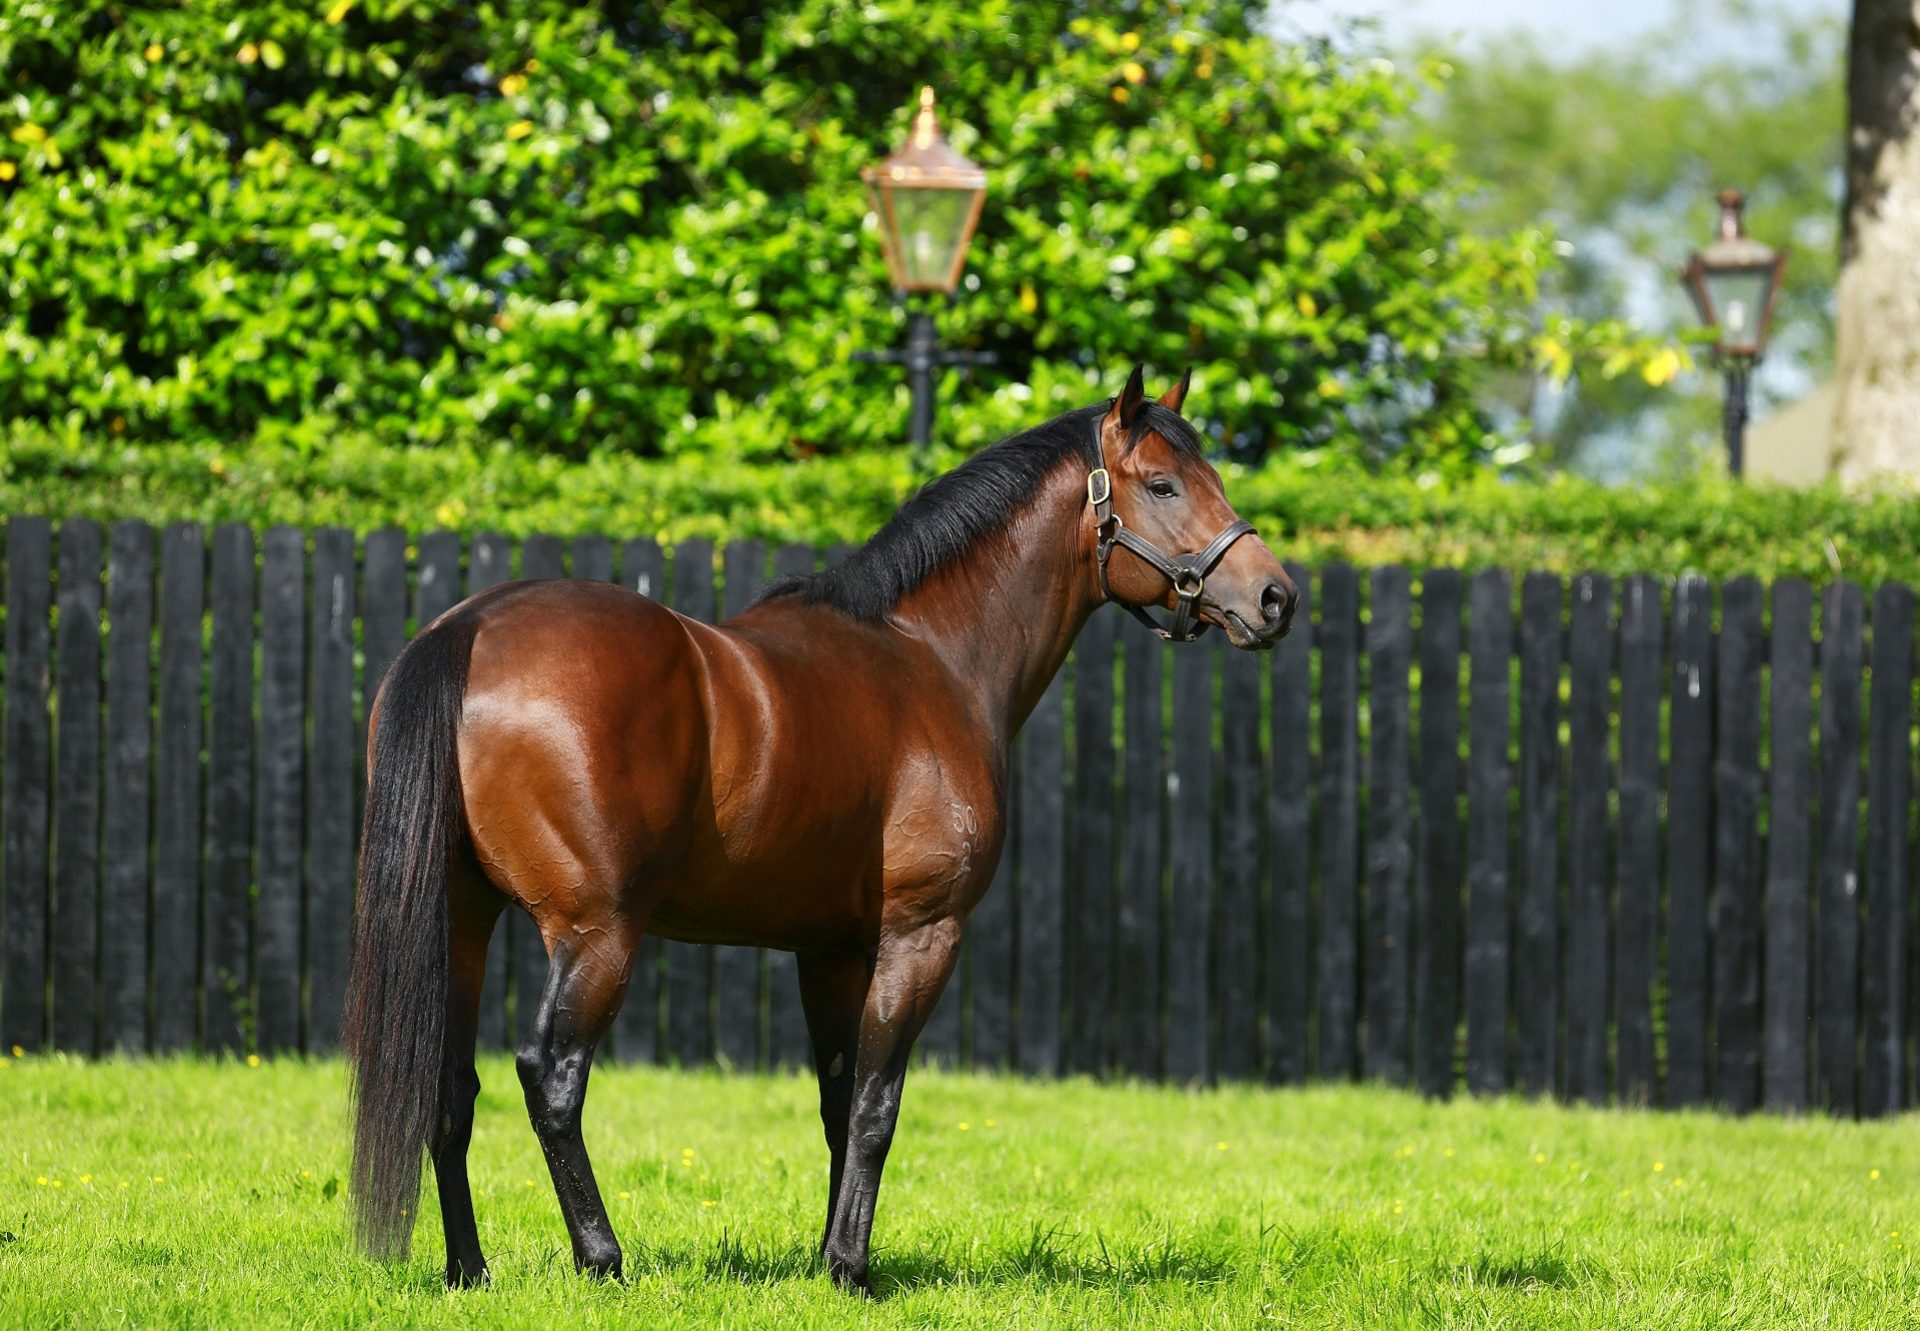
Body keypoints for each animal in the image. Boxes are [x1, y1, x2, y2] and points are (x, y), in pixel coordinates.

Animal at [345, 368, 1305, 1290]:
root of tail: (471, 629)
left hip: (463, 923)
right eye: (1164, 485)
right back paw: (601, 1257)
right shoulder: (920, 935)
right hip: (596, 934)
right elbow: (878, 1105)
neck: (931, 655)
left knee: (448, 1087)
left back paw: (469, 1269)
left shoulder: (830, 951)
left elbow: (838, 1104)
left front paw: (830, 1258)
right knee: (551, 1075)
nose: (1276, 597)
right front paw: (850, 1267)